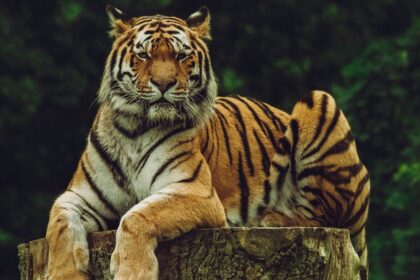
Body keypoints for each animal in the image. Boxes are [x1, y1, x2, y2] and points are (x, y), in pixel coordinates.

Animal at [44, 4, 370, 280]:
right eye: (144, 55)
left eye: (181, 56)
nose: (164, 84)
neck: (135, 128)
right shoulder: (79, 196)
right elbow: (58, 225)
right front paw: (64, 274)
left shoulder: (196, 191)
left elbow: (136, 216)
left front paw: (133, 271)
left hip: (319, 101)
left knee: (324, 217)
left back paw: (270, 219)